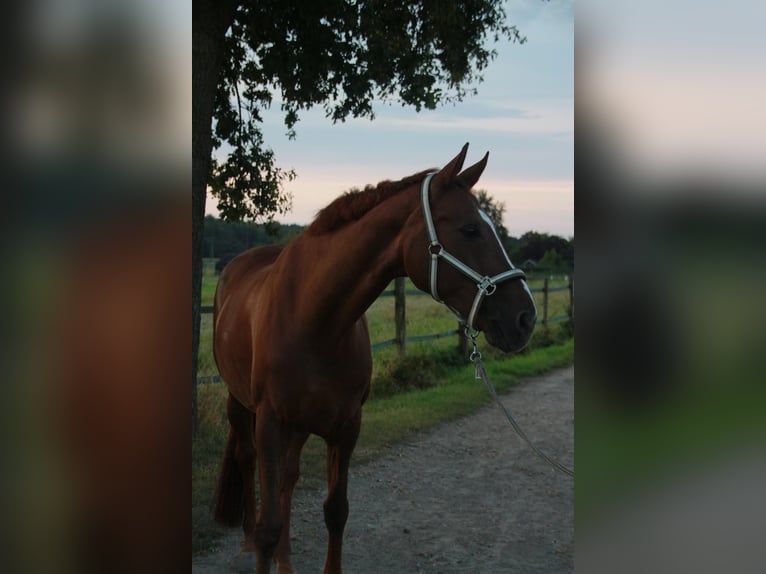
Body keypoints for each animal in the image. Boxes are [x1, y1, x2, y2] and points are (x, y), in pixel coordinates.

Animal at [212, 143, 537, 574]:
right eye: (470, 229)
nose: (526, 317)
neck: (313, 320)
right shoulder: (270, 423)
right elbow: (270, 526)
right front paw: (263, 542)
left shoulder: (347, 426)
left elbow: (336, 511)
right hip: (241, 406)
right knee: (247, 463)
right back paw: (250, 539)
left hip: (299, 426)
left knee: (288, 480)